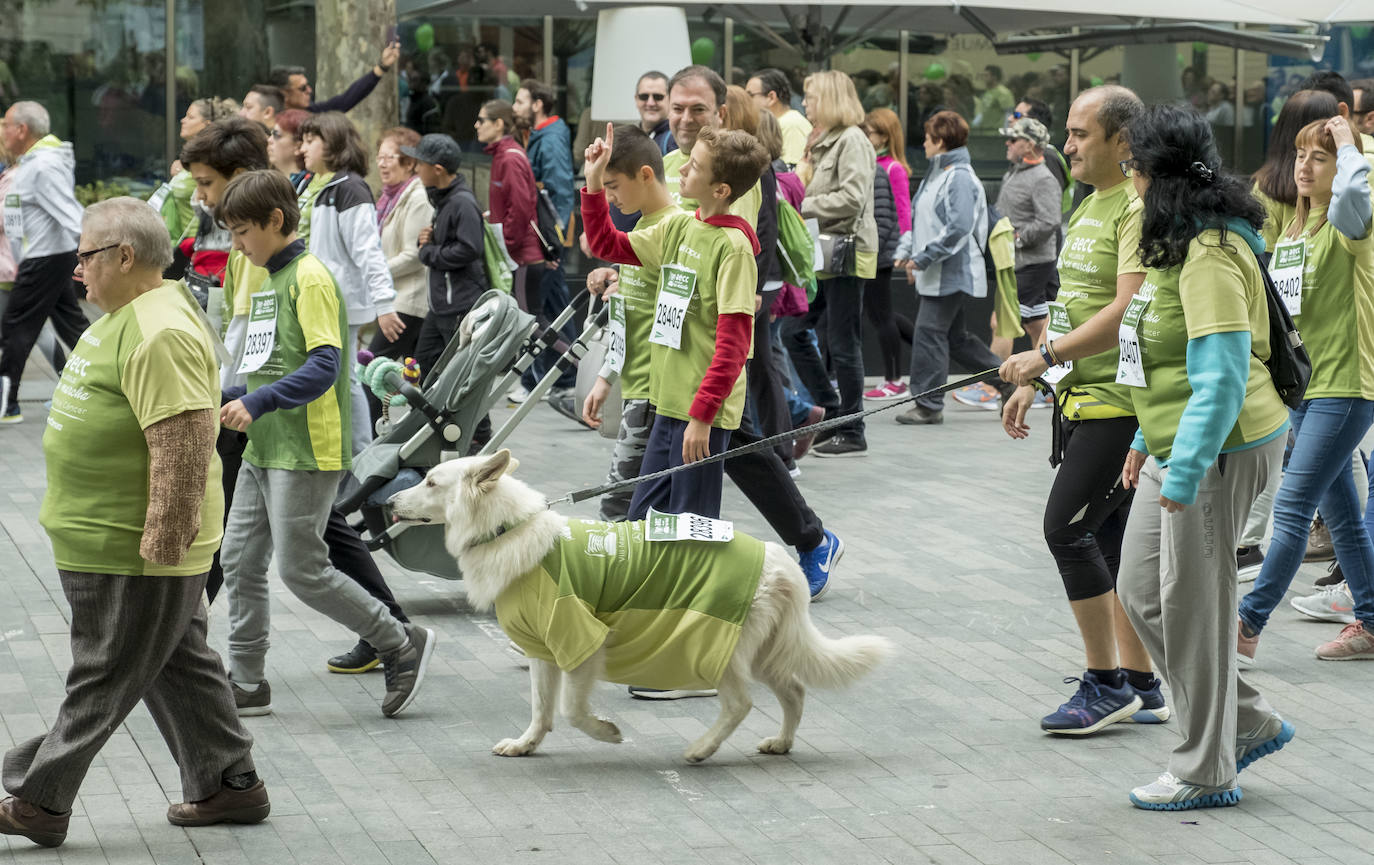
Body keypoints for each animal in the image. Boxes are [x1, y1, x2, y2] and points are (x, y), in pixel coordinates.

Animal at [392, 450, 895, 763]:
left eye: (431, 481)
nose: (390, 500)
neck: (505, 529)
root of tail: (780, 561)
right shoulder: (543, 649)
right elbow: (541, 709)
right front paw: (526, 744)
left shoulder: (581, 643)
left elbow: (571, 711)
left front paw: (606, 732)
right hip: (765, 653)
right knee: (794, 691)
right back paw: (782, 744)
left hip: (716, 648)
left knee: (740, 704)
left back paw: (703, 749)